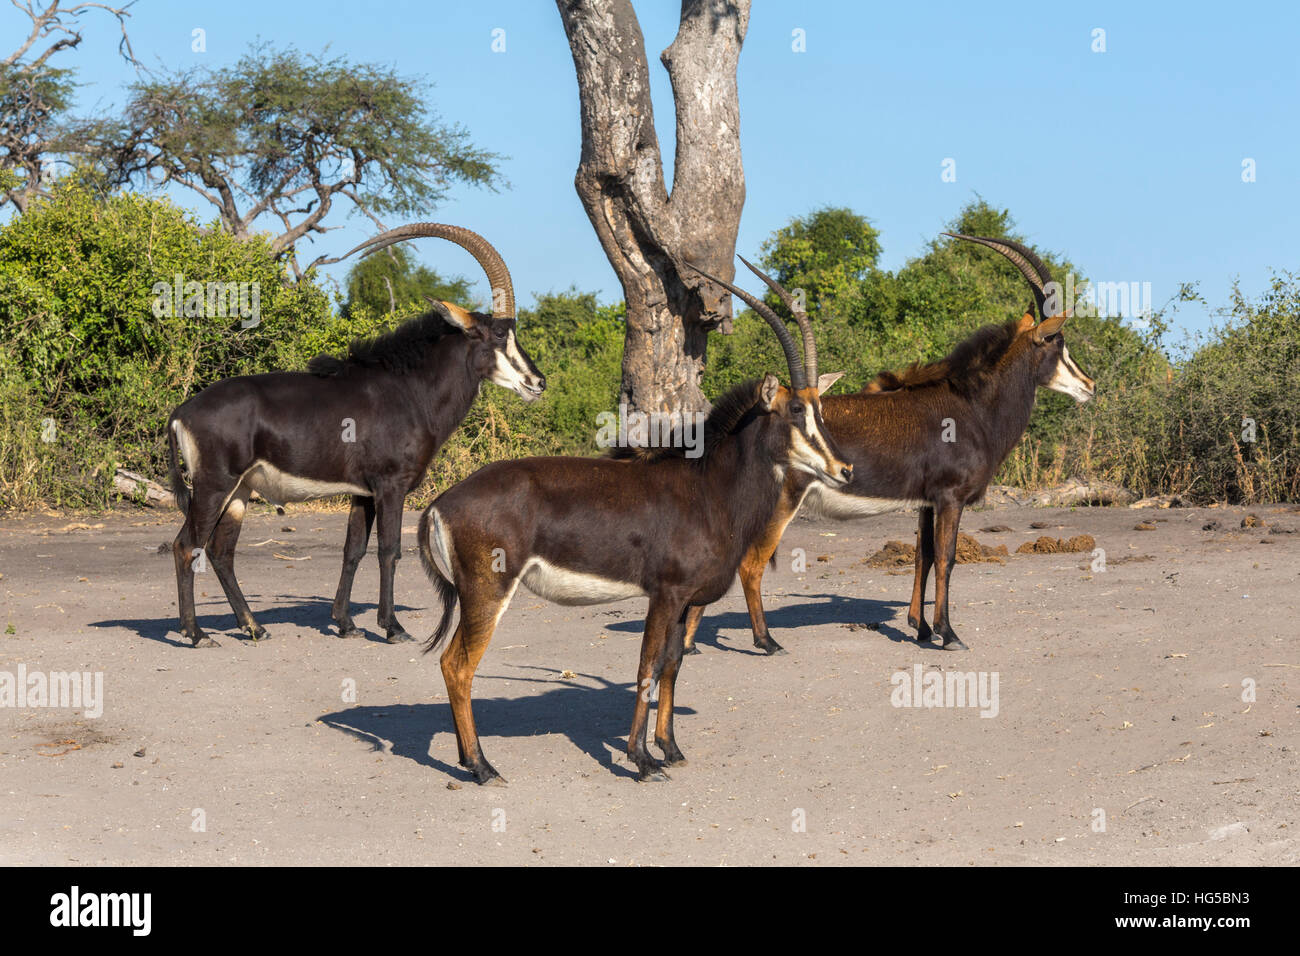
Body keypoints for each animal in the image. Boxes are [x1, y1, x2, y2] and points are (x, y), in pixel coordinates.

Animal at [166, 222, 543, 650]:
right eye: (498, 334)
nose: (537, 382)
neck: (409, 389)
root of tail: (182, 412)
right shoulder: (390, 486)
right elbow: (389, 550)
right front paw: (393, 627)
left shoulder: (362, 492)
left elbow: (353, 550)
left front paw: (345, 623)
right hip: (214, 484)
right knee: (186, 546)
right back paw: (196, 634)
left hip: (239, 491)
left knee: (220, 552)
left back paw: (253, 627)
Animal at [410, 257, 847, 780]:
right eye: (797, 409)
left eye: (821, 408)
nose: (844, 469)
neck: (707, 486)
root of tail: (441, 504)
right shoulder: (665, 595)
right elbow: (645, 668)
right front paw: (640, 760)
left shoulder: (685, 602)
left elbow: (672, 666)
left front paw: (670, 747)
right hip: (486, 591)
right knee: (457, 664)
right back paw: (481, 767)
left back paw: (468, 759)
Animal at [681, 230, 1097, 658]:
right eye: (1057, 341)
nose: (1089, 385)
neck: (972, 405)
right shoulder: (951, 498)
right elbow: (946, 558)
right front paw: (948, 634)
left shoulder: (929, 502)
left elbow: (923, 556)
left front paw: (921, 627)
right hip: (779, 506)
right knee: (750, 565)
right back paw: (765, 641)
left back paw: (691, 643)